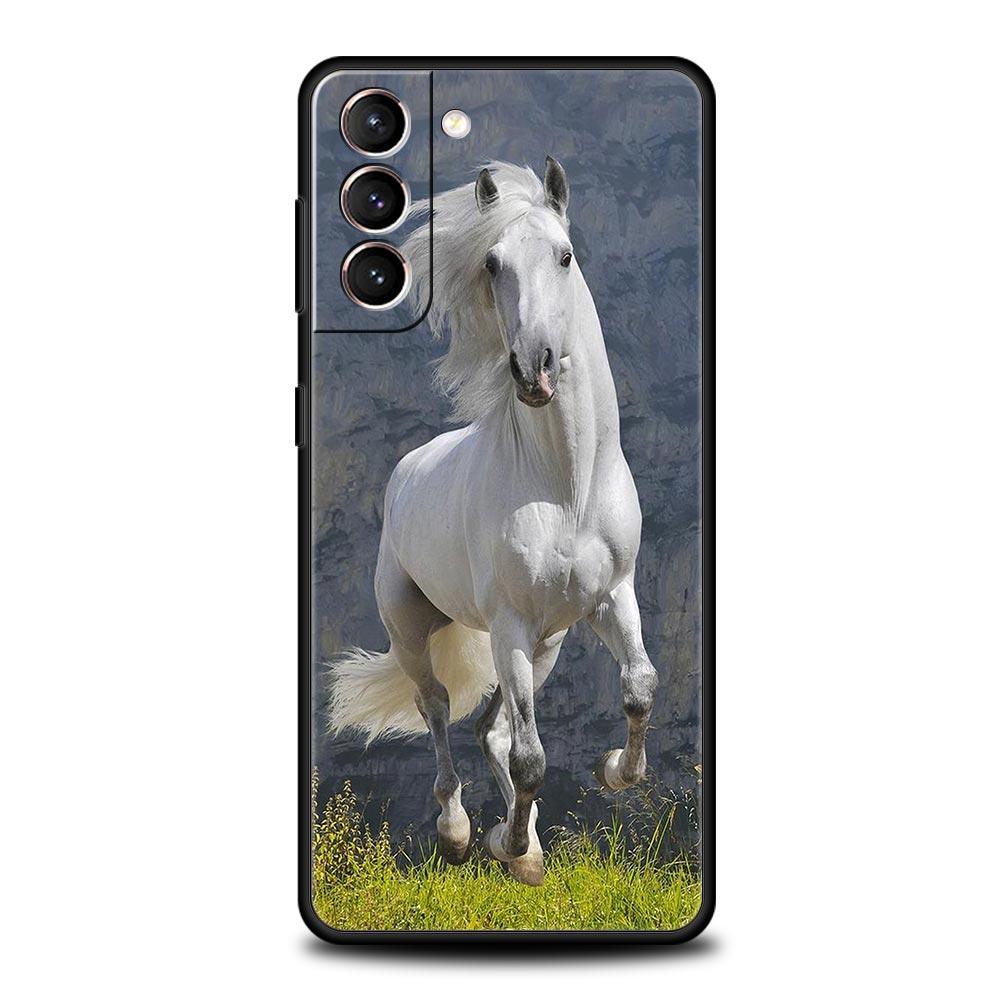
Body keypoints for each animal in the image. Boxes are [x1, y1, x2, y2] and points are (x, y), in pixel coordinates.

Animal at [328, 158, 660, 886]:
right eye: (492, 262)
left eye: (565, 256)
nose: (533, 369)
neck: (566, 487)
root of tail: (406, 470)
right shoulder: (509, 624)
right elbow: (533, 759)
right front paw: (501, 844)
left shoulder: (611, 598)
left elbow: (640, 688)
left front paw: (614, 774)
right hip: (418, 632)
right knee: (439, 711)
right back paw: (460, 834)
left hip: (547, 645)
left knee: (492, 730)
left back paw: (525, 846)